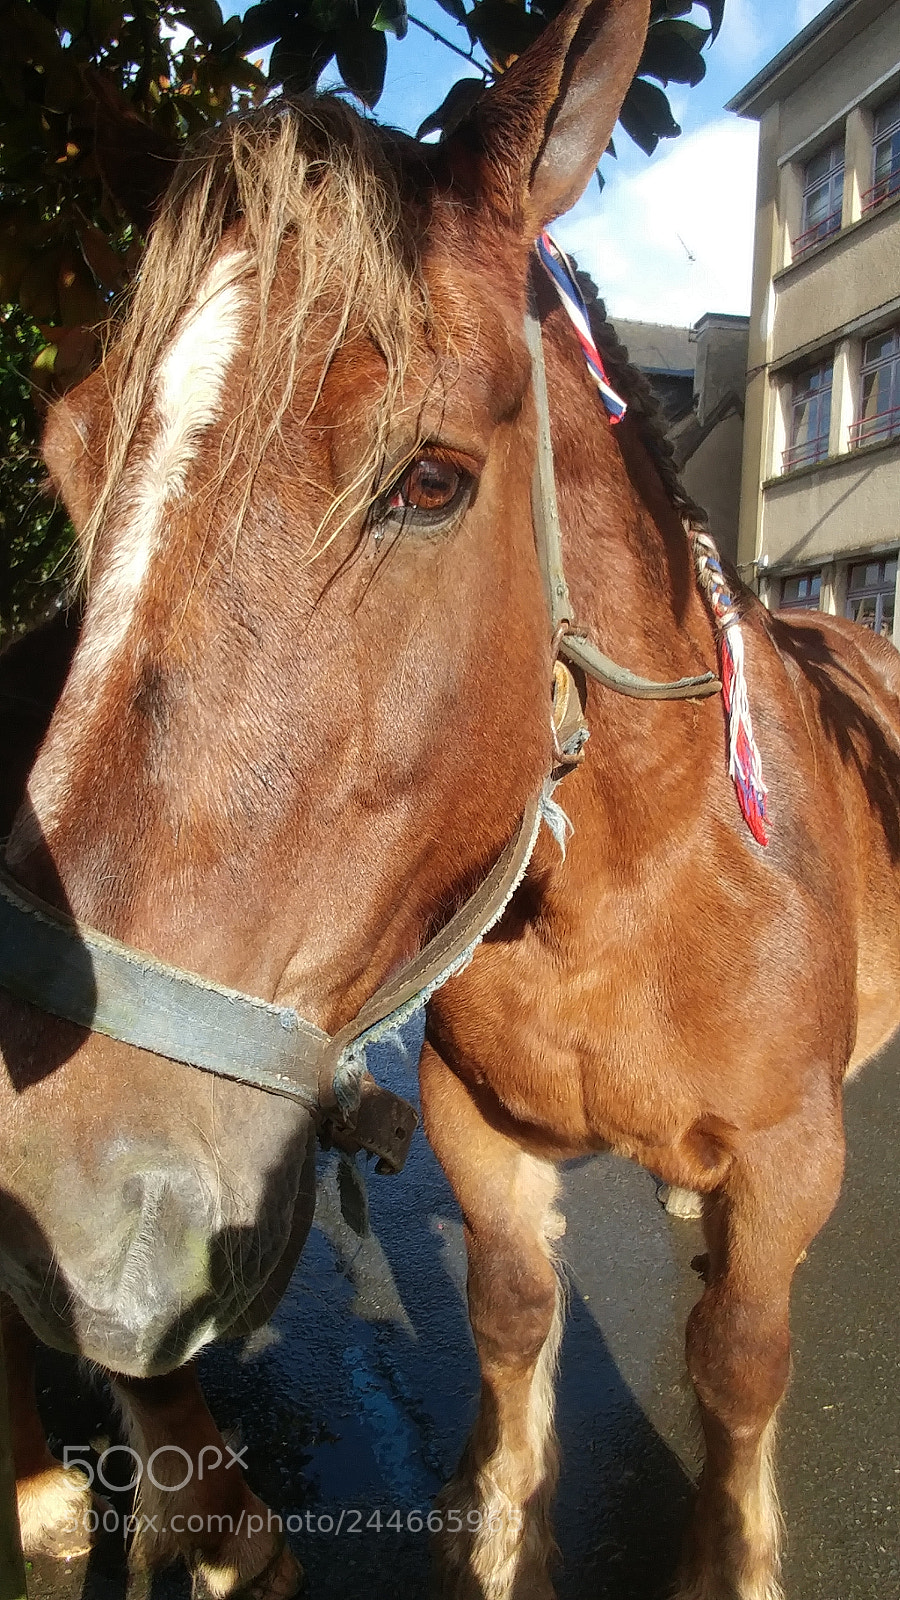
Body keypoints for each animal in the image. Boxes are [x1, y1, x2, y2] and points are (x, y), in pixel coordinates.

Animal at [3, 0, 900, 1593]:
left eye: (427, 481)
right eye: (62, 455)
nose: (63, 1200)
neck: (640, 892)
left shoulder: (794, 1160)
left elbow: (741, 1362)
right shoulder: (483, 1137)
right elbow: (514, 1329)